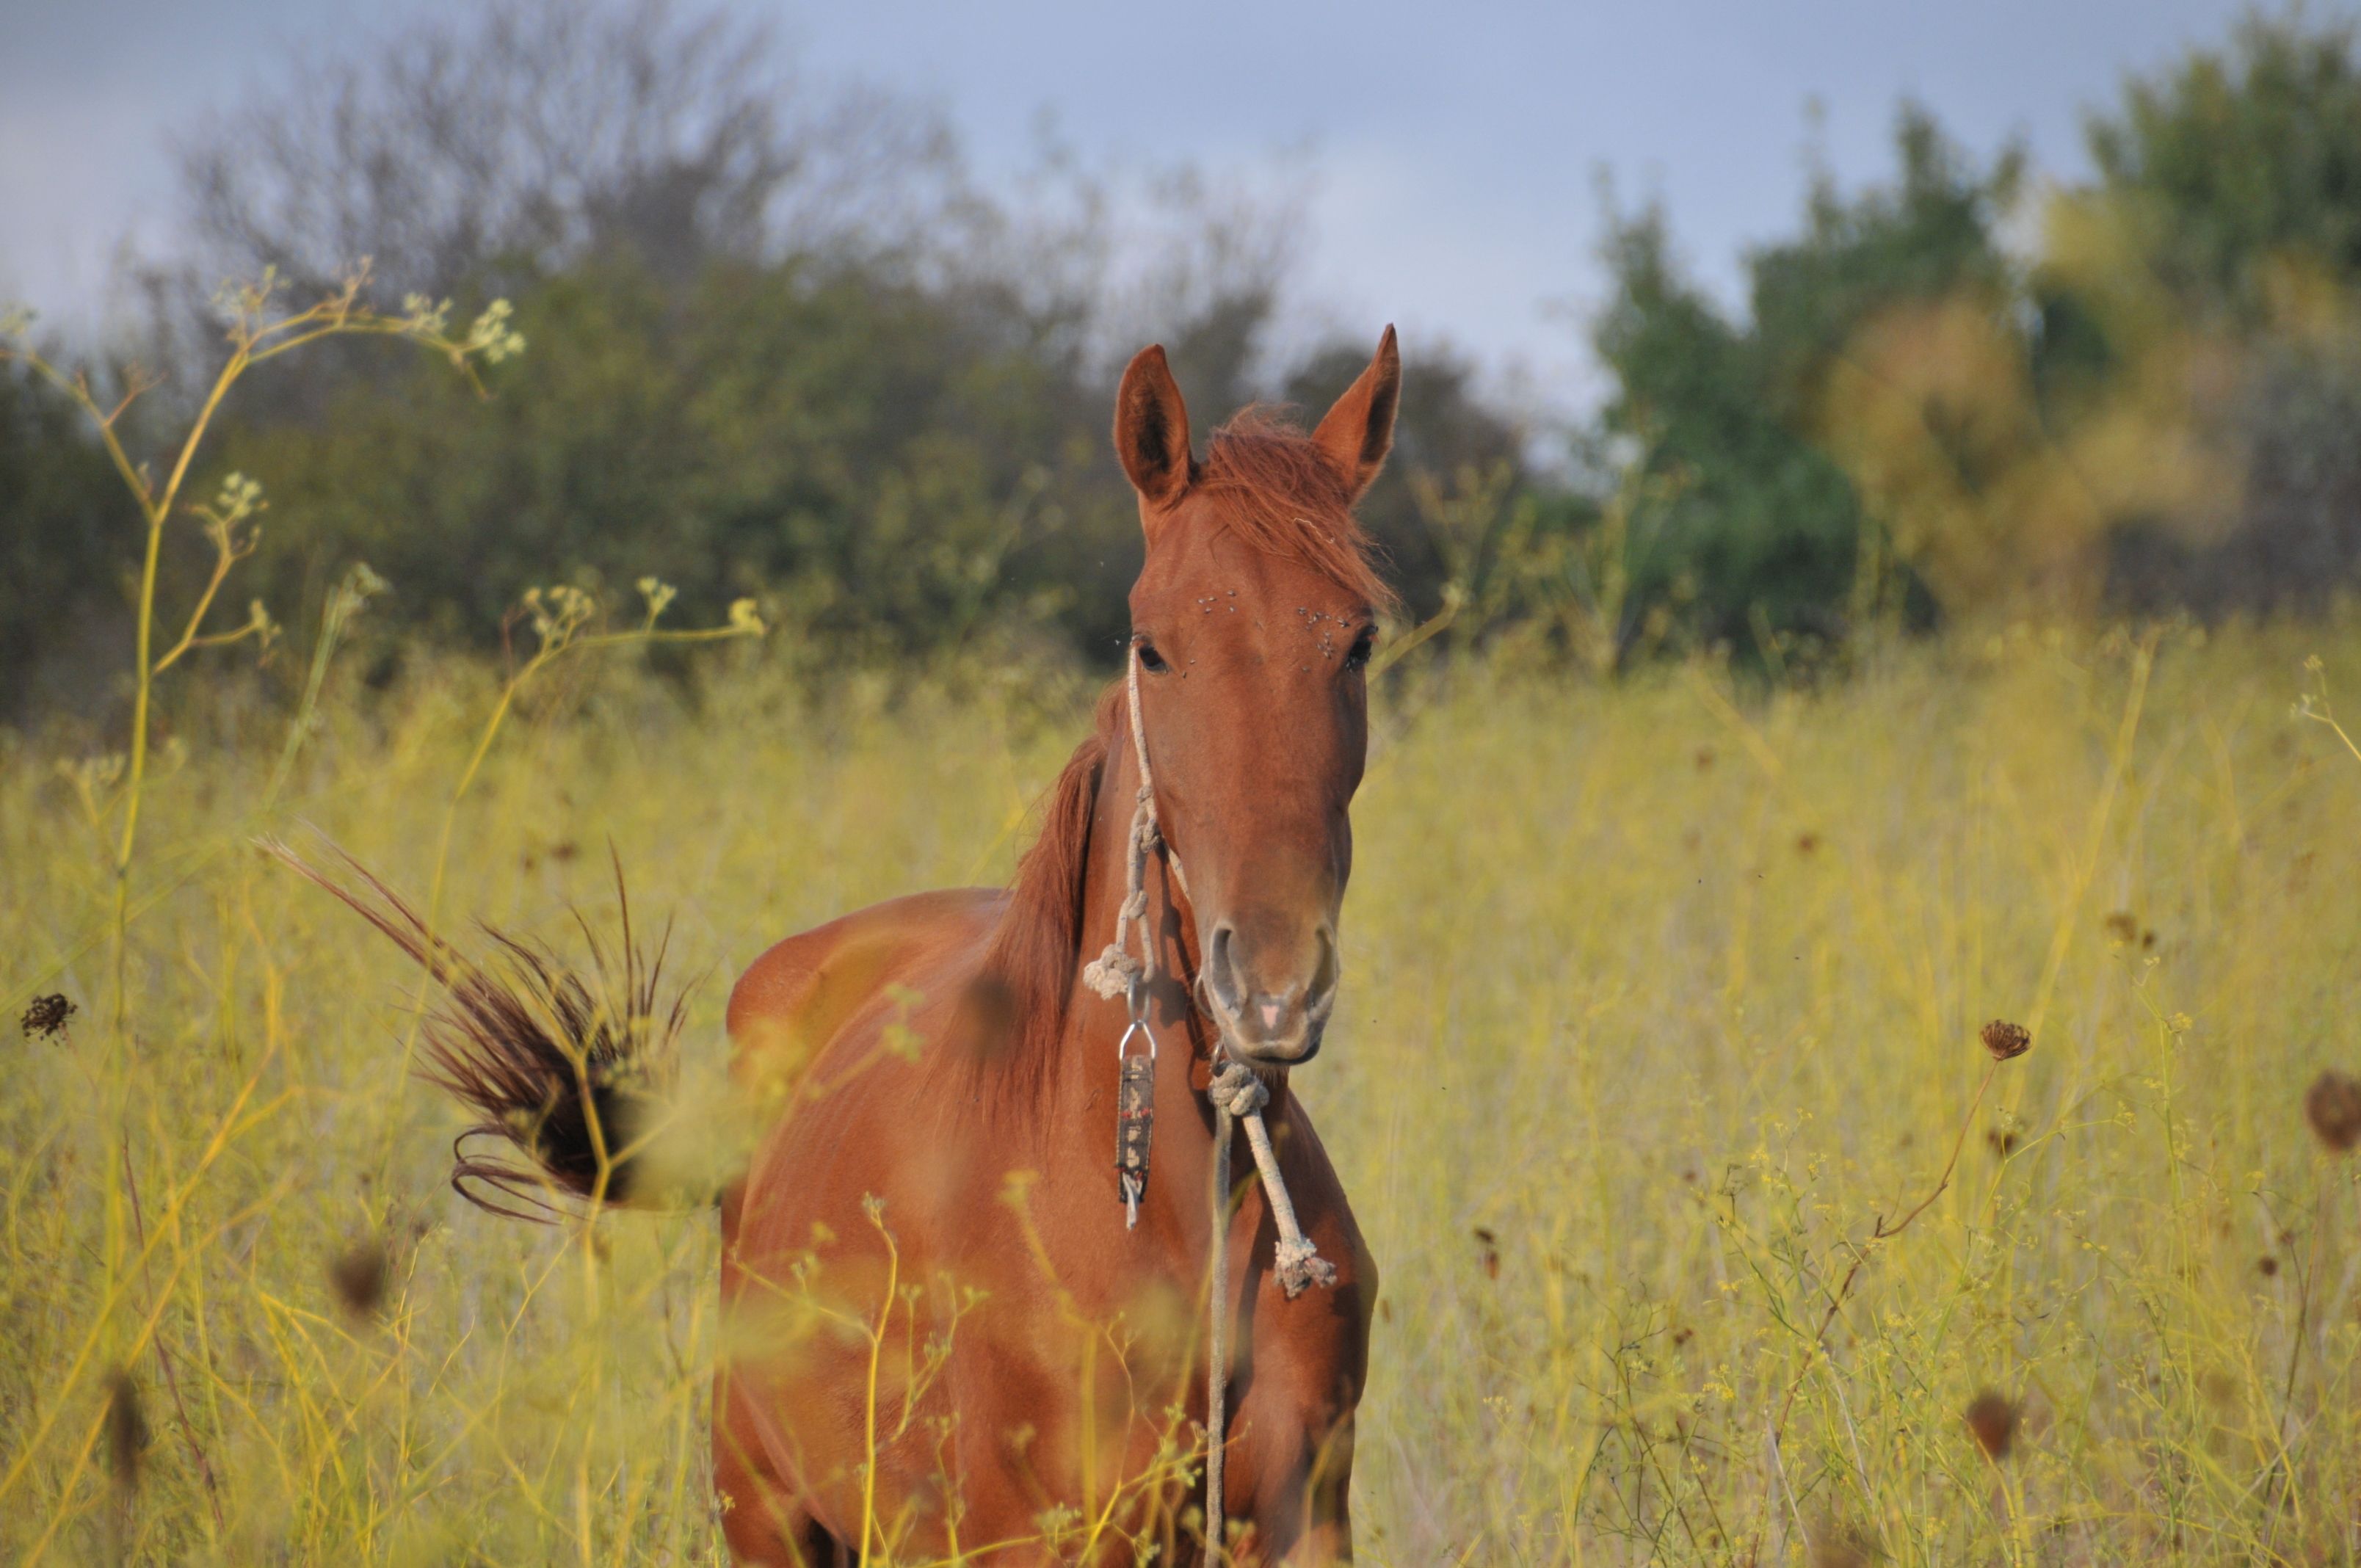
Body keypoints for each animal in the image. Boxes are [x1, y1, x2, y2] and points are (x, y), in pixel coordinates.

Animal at [285, 327, 1402, 1565]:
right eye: (1153, 650)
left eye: (1357, 642)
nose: (1273, 983)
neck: (1162, 1208)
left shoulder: (1306, 1524)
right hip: (765, 1511)